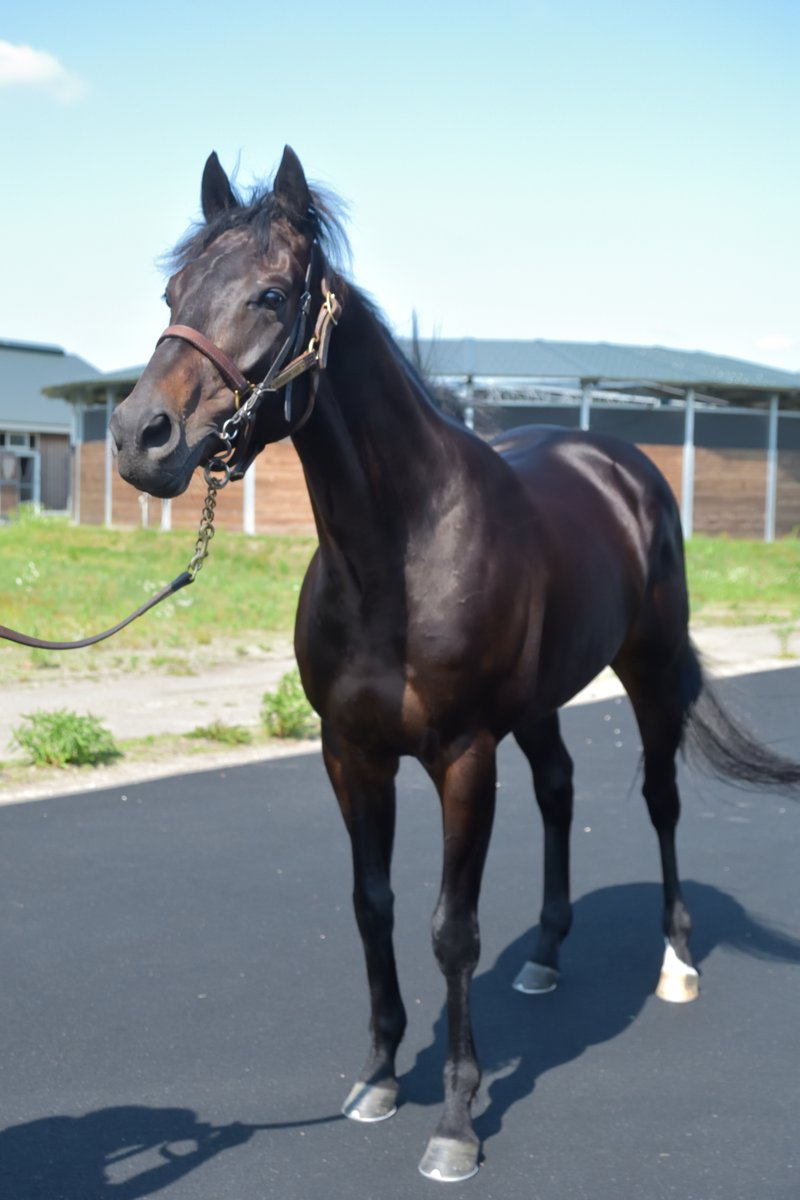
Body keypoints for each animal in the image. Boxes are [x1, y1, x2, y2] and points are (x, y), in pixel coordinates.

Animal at [109, 146, 800, 1182]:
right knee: (558, 787)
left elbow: (451, 930)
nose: (137, 437)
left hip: (646, 670)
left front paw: (456, 1124)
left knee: (660, 799)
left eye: (270, 294)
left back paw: (676, 963)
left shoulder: (463, 757)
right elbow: (373, 906)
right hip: (541, 703)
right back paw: (547, 955)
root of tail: (620, 462)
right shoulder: (351, 754)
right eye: (171, 291)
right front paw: (378, 1076)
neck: (396, 553)